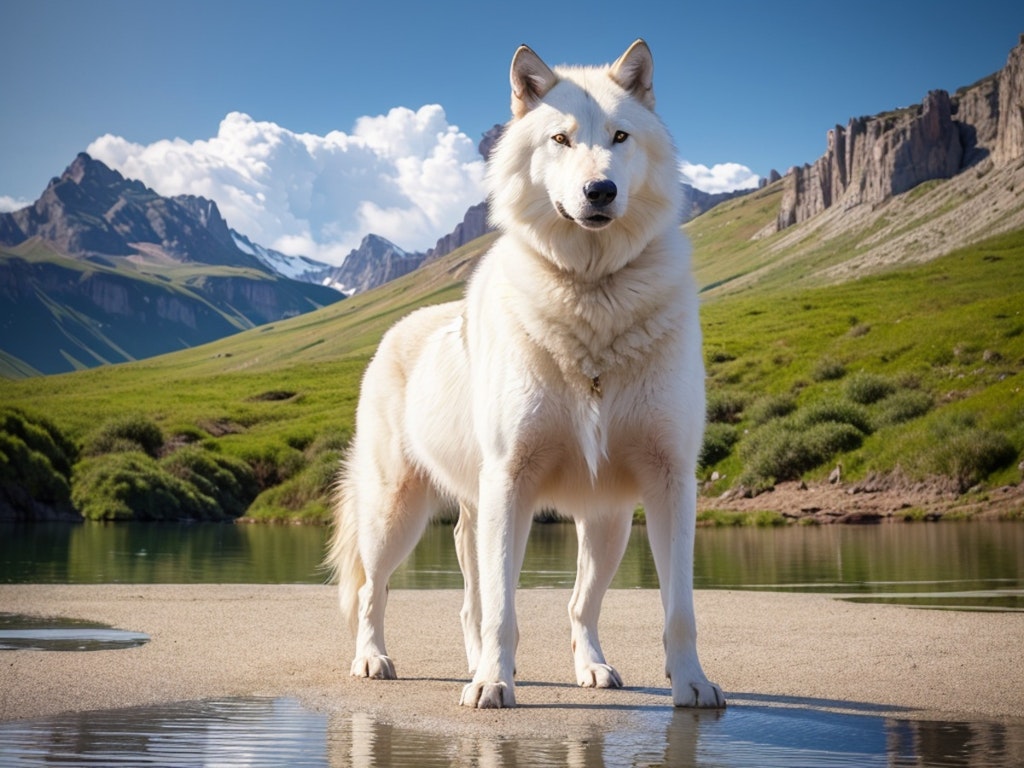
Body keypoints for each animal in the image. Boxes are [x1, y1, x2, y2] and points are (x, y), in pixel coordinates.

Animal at [323, 37, 724, 708]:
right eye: (560, 139)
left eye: (619, 136)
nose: (599, 191)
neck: (591, 294)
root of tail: (395, 330)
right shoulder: (511, 480)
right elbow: (504, 612)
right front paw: (492, 685)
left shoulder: (667, 481)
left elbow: (679, 611)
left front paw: (692, 685)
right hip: (396, 514)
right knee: (373, 590)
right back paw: (374, 659)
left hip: (600, 521)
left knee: (558, 606)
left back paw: (588, 668)